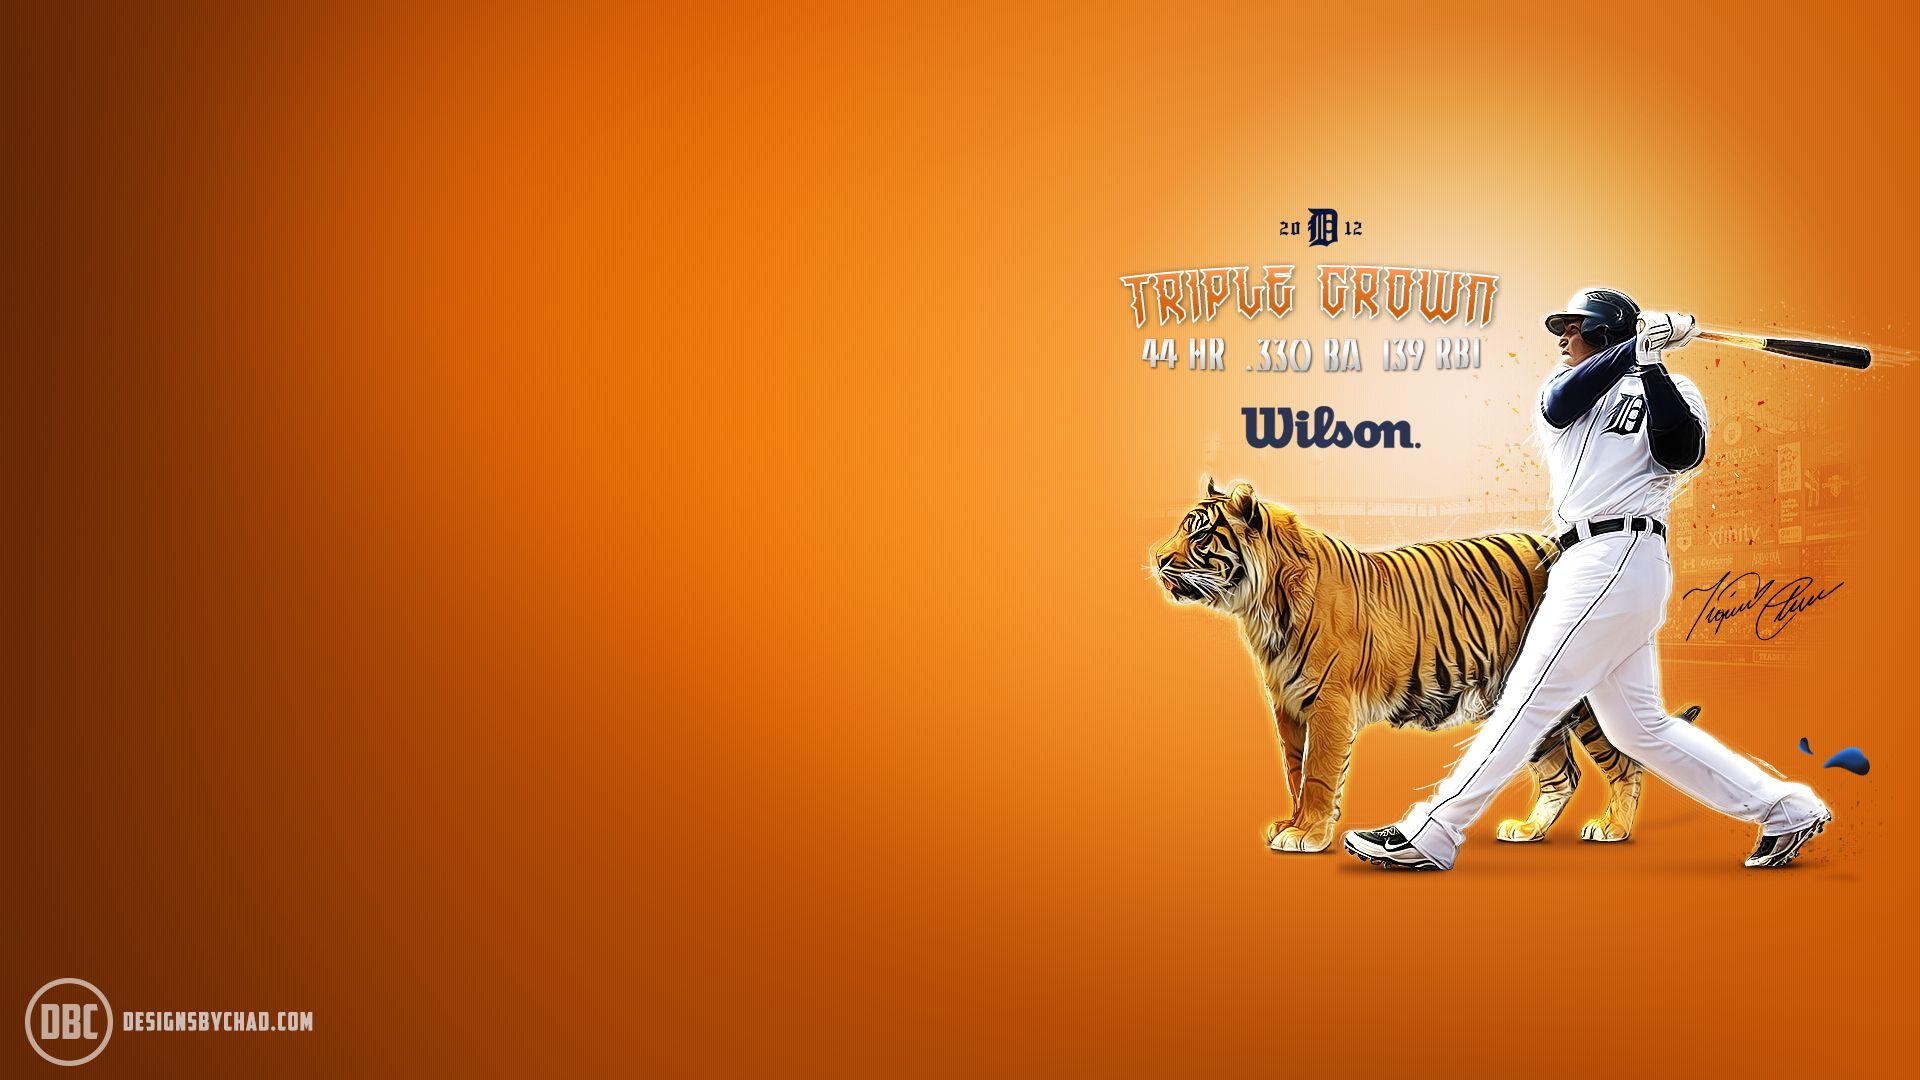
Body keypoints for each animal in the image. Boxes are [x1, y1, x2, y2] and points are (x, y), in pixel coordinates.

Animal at [1151, 478, 1697, 853]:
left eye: (1199, 537)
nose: (1155, 558)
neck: (1261, 608)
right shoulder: (1286, 706)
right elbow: (1293, 770)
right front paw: (1292, 823)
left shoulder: (1328, 704)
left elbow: (1319, 775)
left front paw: (1308, 833)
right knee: (1563, 773)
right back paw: (1527, 830)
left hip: (1578, 690)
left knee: (1624, 759)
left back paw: (1614, 827)